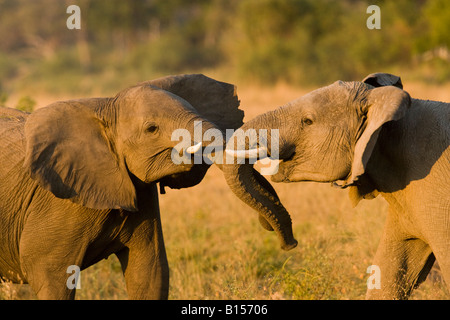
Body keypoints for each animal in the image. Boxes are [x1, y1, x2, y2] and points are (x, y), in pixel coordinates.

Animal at [0, 74, 296, 298]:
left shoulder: (141, 192)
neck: (106, 106)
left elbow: (149, 271)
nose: (289, 244)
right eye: (152, 129)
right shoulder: (60, 202)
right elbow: (51, 275)